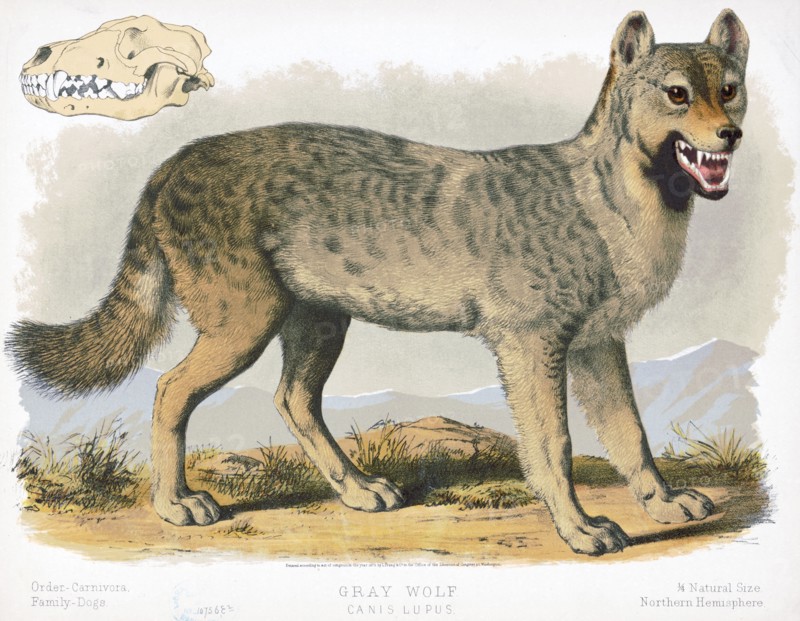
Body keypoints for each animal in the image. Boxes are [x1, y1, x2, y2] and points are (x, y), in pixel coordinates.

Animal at [8, 10, 748, 555]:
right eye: (676, 93)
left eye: (730, 88)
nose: (732, 135)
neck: (614, 197)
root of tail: (175, 160)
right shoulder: (531, 343)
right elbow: (554, 446)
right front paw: (581, 529)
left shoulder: (596, 344)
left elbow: (630, 433)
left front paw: (662, 502)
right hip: (244, 324)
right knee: (169, 390)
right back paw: (175, 504)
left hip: (317, 322)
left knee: (292, 400)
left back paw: (359, 490)